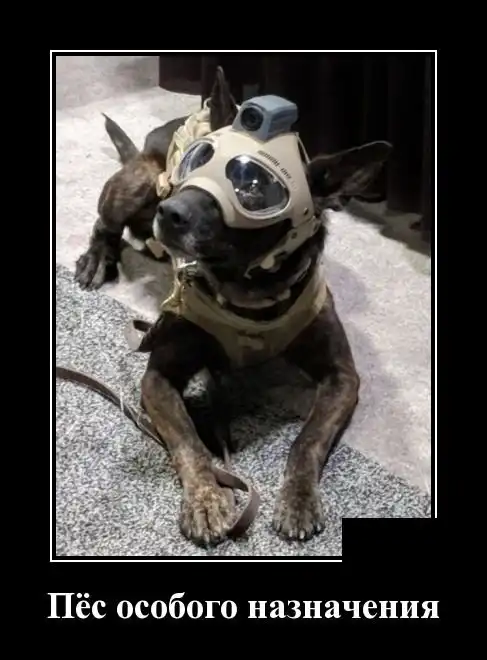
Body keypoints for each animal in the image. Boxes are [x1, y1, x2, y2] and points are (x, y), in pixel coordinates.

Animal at [75, 67, 392, 546]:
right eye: (196, 161)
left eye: (253, 188)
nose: (169, 212)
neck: (248, 292)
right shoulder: (159, 376)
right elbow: (190, 442)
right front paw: (207, 500)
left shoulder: (342, 377)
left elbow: (307, 440)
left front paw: (298, 498)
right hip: (137, 182)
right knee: (105, 224)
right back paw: (98, 257)